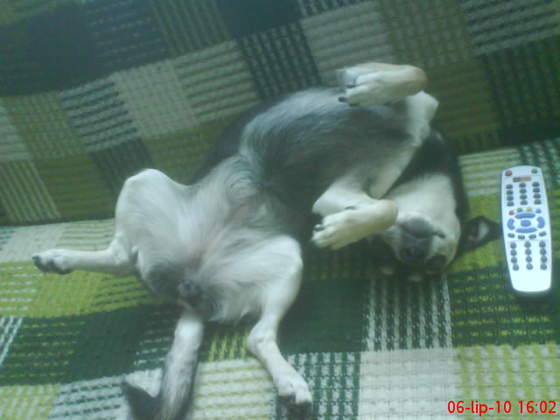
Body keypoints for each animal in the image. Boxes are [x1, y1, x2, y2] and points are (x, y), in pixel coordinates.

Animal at [32, 62, 498, 420]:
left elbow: (386, 208)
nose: (411, 254)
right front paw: (370, 88)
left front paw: (341, 230)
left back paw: (290, 381)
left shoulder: (340, 194)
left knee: (253, 335)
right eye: (383, 254)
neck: (414, 166)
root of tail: (189, 288)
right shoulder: (391, 127)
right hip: (143, 181)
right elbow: (415, 75)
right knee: (120, 256)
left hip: (286, 258)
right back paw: (58, 258)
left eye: (430, 267)